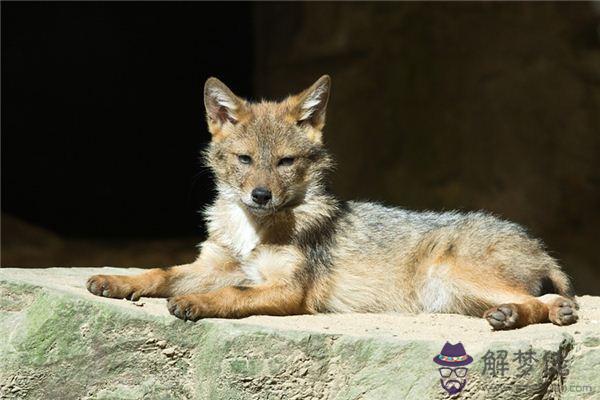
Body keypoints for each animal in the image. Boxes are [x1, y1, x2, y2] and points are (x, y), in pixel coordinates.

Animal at [86, 76, 580, 332]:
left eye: (284, 162)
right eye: (245, 160)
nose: (260, 195)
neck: (252, 230)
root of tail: (538, 244)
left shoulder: (289, 291)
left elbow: (231, 294)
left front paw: (195, 303)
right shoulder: (211, 265)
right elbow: (158, 272)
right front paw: (114, 280)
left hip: (452, 274)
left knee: (555, 301)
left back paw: (525, 313)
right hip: (453, 295)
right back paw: (509, 314)